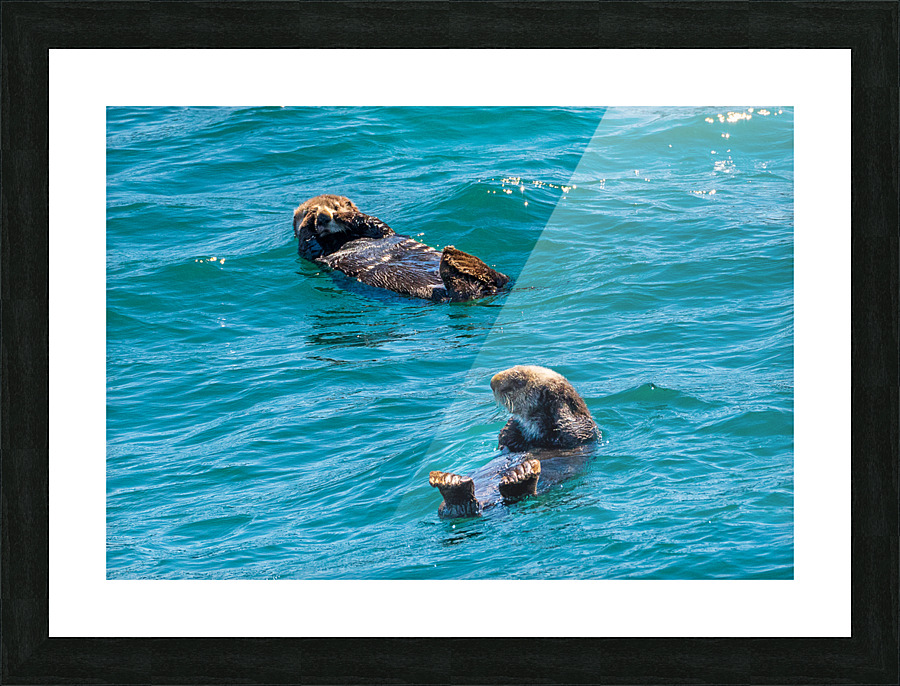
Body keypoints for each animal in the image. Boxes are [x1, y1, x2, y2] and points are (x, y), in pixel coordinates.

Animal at [293, 195, 510, 302]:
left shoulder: (381, 231)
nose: (324, 217)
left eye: (336, 207)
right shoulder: (312, 254)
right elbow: (307, 243)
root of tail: (487, 291)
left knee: (500, 278)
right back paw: (455, 258)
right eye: (310, 210)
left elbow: (372, 222)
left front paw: (346, 216)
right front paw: (309, 221)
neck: (340, 239)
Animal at [429, 365, 600, 518]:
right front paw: (511, 426)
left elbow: (572, 427)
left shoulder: (582, 431)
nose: (492, 382)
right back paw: (451, 484)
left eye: (519, 381)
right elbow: (507, 439)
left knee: (520, 494)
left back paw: (520, 476)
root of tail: (486, 506)